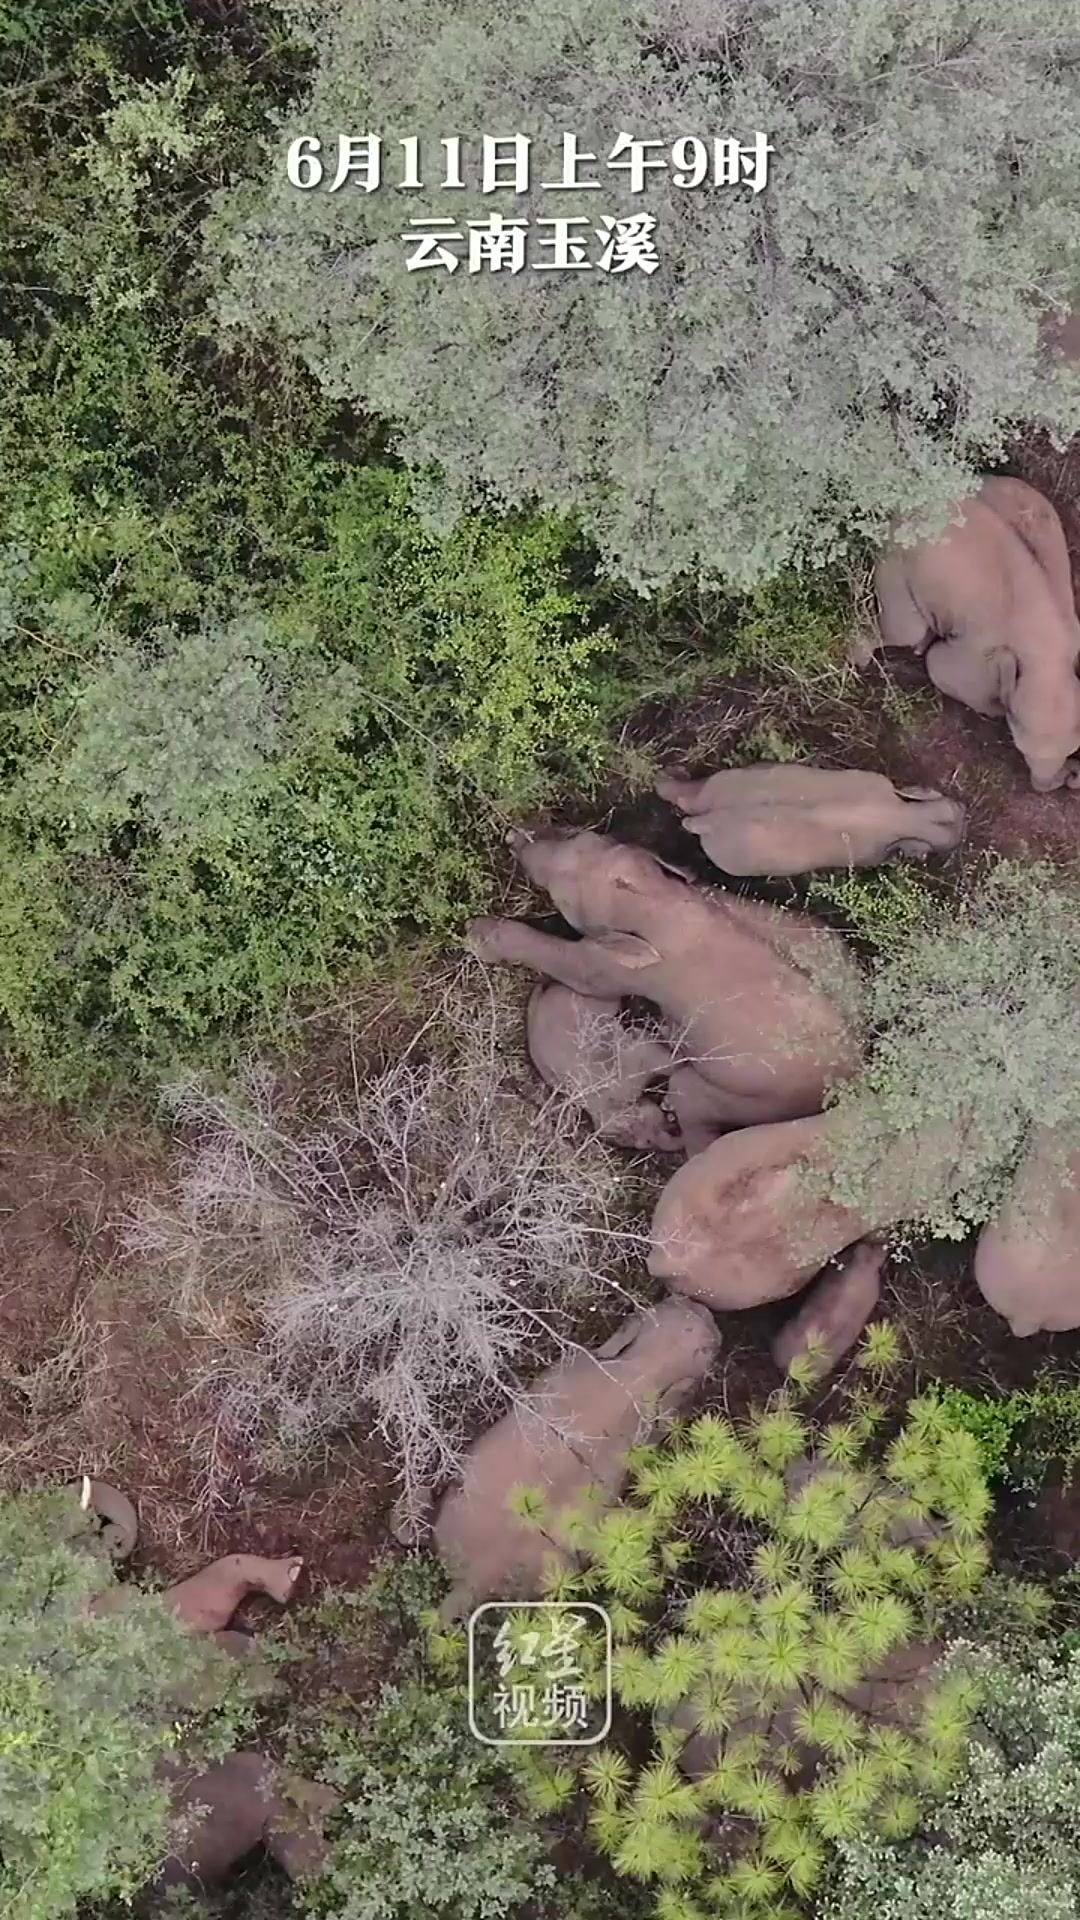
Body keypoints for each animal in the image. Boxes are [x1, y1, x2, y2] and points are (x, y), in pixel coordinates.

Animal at [467, 828, 866, 1126]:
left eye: (561, 898)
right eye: (581, 837)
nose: (513, 838)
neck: (664, 901)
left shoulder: (624, 968)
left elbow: (577, 969)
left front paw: (478, 936)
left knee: (687, 1092)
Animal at [655, 764, 964, 876]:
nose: (964, 810)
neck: (902, 816)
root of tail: (711, 819)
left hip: (726, 780)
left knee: (688, 794)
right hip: (734, 860)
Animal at [856, 476, 1080, 792]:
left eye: (1073, 750)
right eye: (1022, 749)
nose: (1073, 774)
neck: (1048, 654)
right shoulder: (978, 653)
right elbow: (939, 666)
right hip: (896, 559)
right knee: (906, 630)